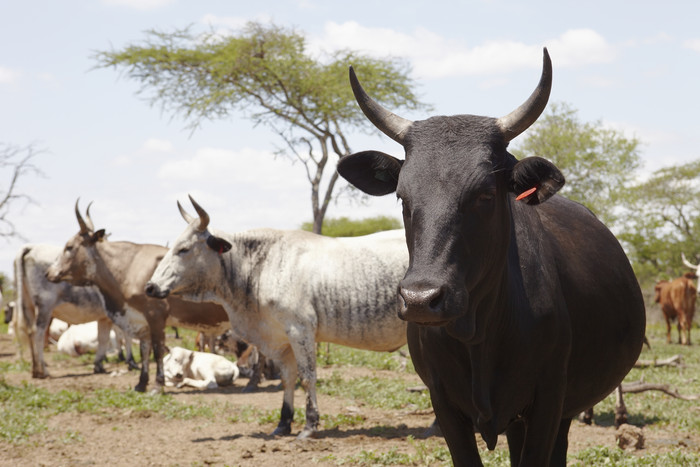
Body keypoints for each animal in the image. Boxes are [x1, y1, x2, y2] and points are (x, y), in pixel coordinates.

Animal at [45, 203, 230, 394]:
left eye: (69, 247)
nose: (48, 273)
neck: (129, 268)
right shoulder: (141, 321)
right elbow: (144, 350)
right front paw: (141, 383)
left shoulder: (156, 316)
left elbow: (157, 350)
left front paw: (157, 385)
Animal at [338, 49, 644, 466]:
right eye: (402, 196)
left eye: (484, 194)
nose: (420, 299)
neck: (478, 332)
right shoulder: (443, 404)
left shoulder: (548, 402)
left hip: (561, 410)